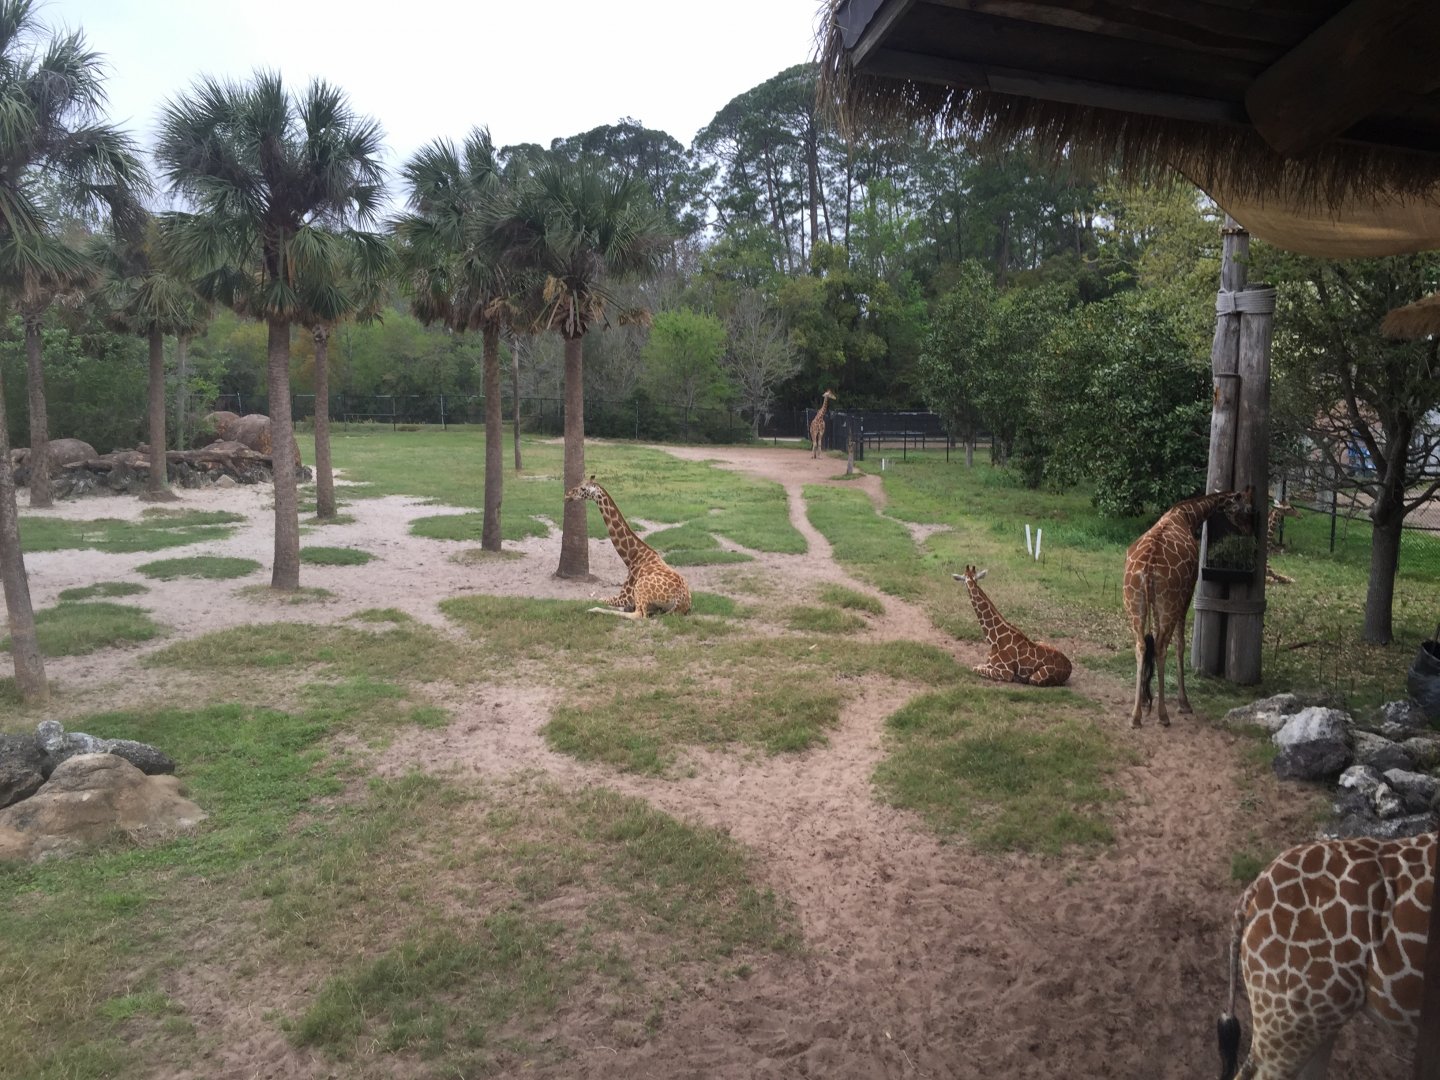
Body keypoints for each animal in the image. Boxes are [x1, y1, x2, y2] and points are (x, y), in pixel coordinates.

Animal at [563, 476, 691, 619]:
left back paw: (593, 609)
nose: (567, 495)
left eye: (583, 488)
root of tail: (682, 601)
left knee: (639, 615)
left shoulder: (624, 597)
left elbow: (597, 598)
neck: (632, 557)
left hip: (640, 587)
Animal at [1122, 487, 1254, 727]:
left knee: (1142, 645)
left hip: (1134, 603)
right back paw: (1164, 715)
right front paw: (1183, 703)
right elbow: (1181, 644)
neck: (1187, 515)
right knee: (1162, 647)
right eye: (1247, 509)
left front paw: (1146, 699)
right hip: (1170, 603)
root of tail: (1148, 568)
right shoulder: (1187, 594)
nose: (1249, 530)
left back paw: (1136, 716)